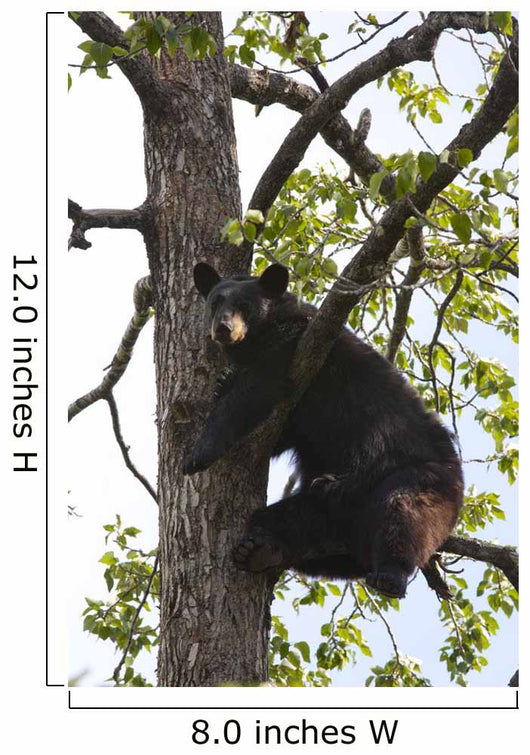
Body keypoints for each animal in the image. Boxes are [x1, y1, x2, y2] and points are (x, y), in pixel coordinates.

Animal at [183, 261, 463, 598]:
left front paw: (197, 455)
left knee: (404, 510)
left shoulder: (292, 346)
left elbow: (253, 392)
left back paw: (390, 576)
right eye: (216, 302)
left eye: (245, 305)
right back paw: (259, 550)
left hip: (429, 478)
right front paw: (221, 384)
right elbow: (277, 433)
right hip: (326, 510)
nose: (223, 328)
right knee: (294, 520)